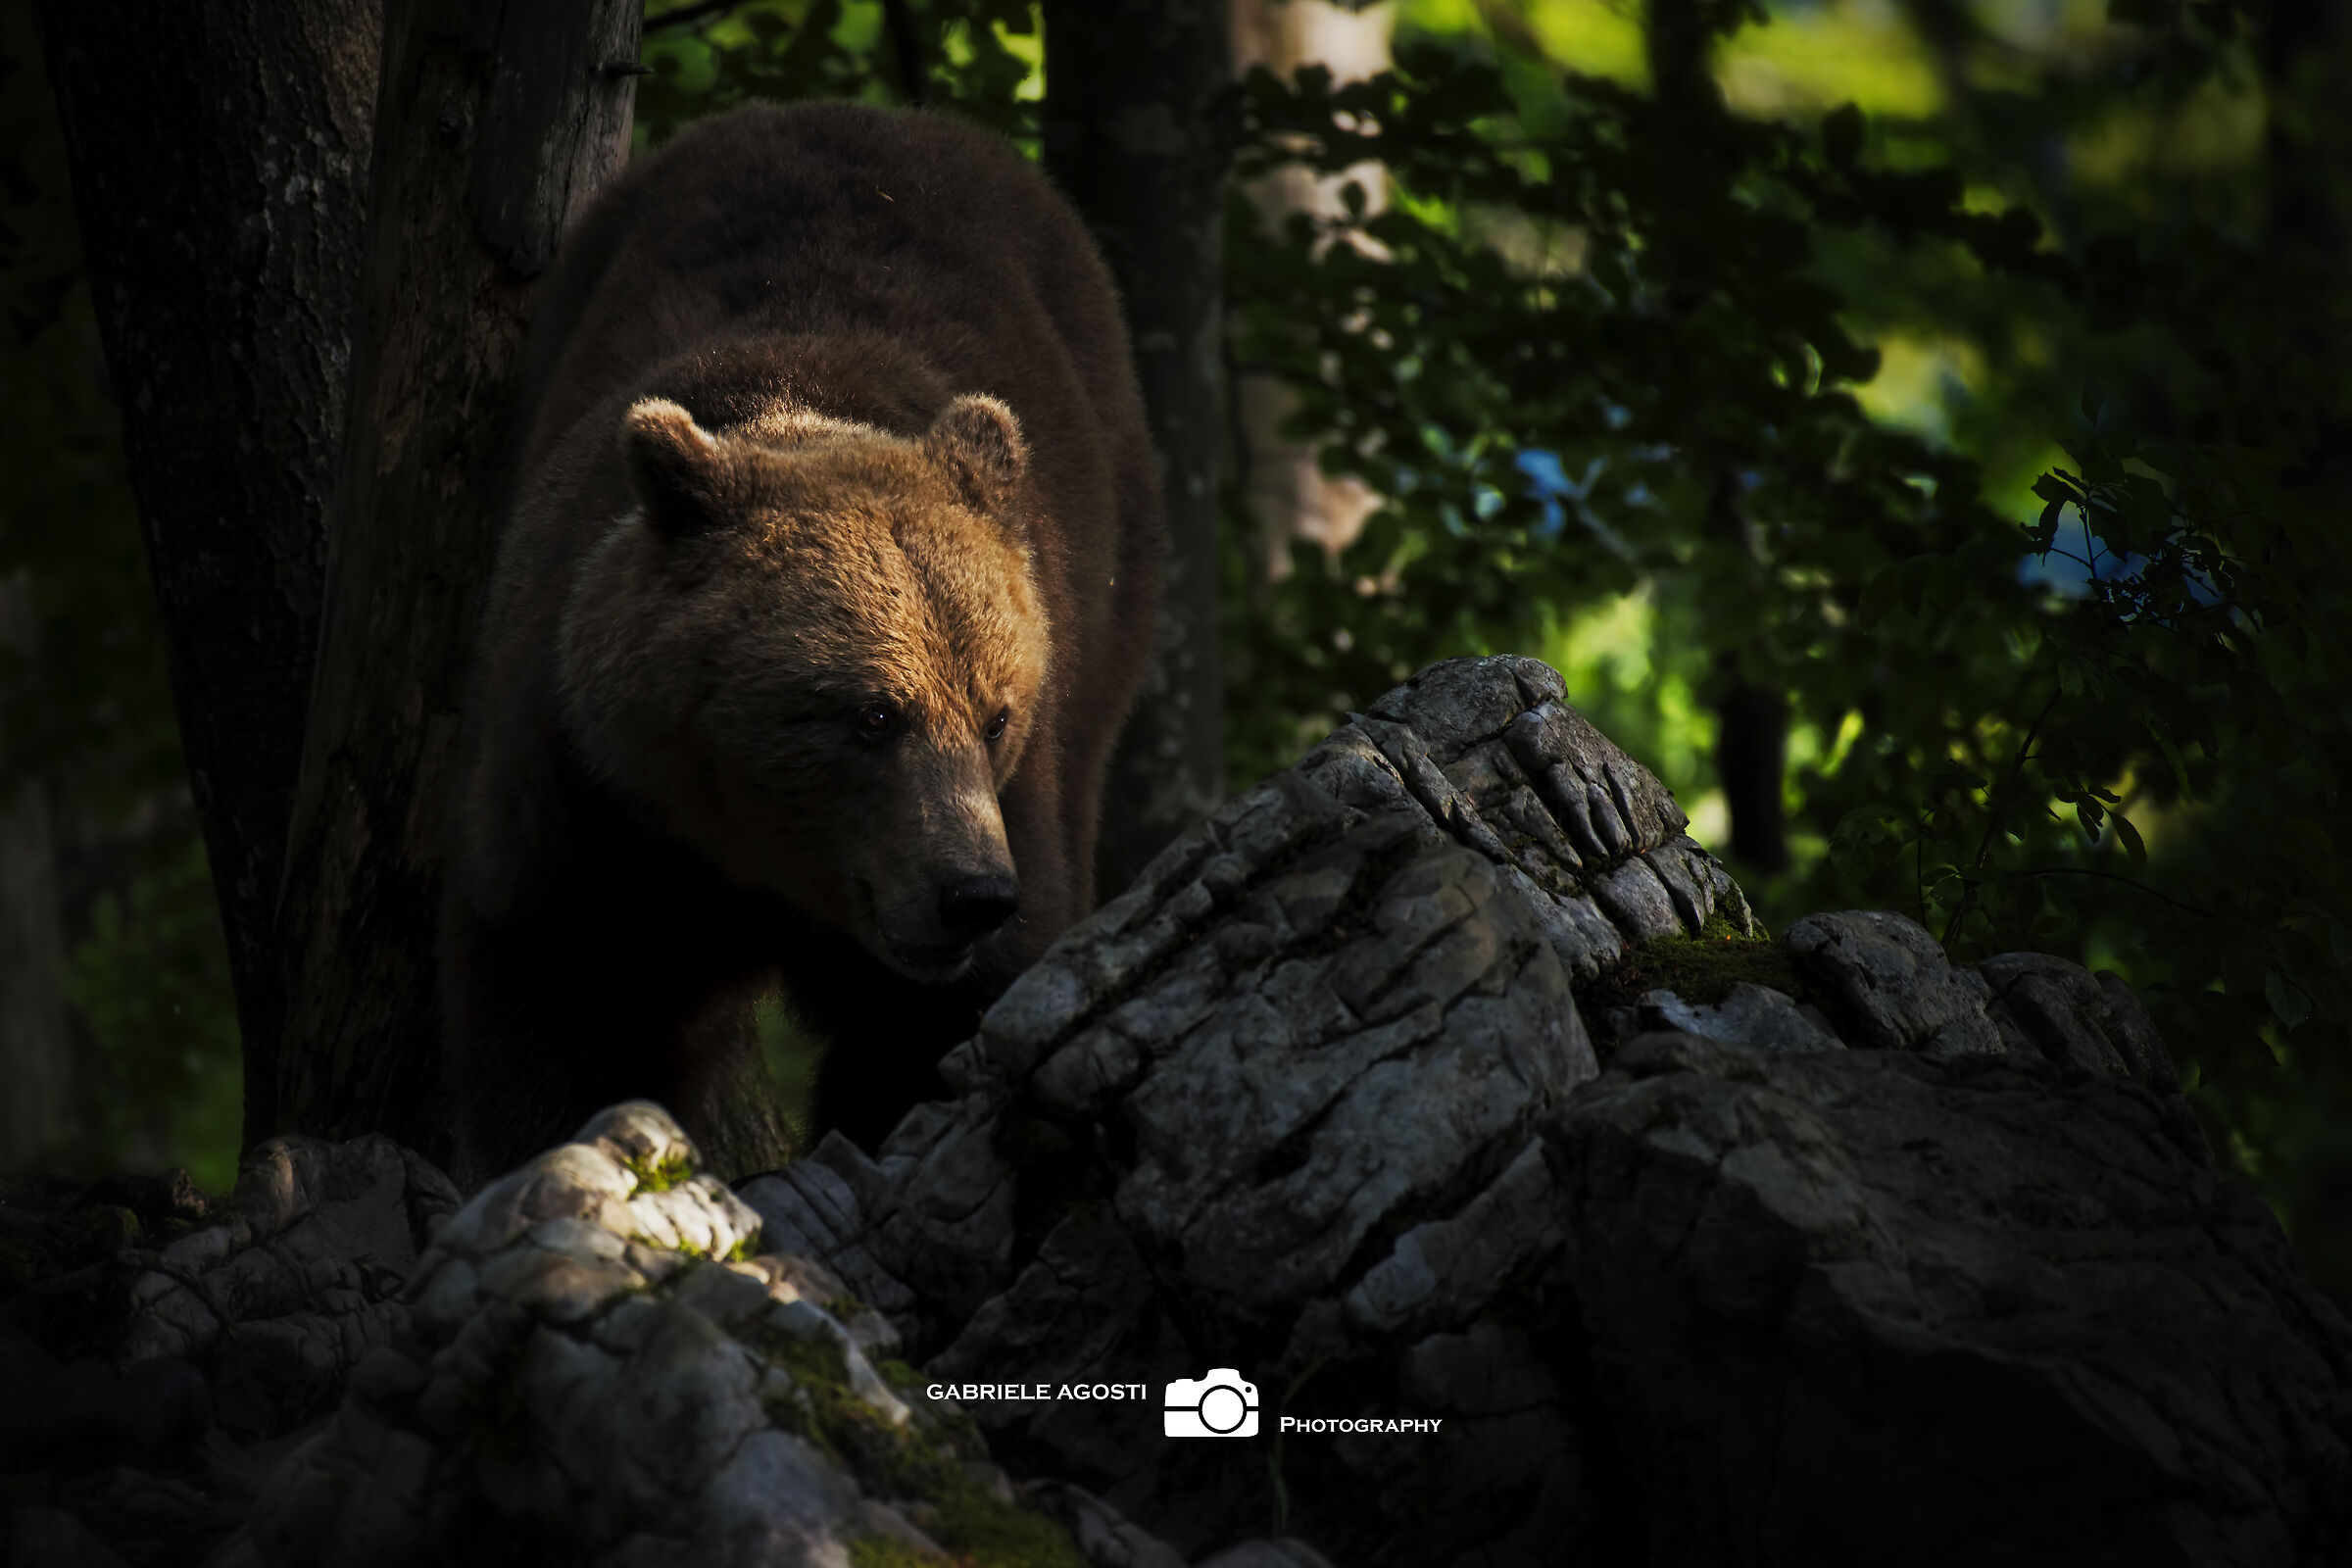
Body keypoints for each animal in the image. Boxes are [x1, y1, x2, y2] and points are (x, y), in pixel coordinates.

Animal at [440, 102, 1163, 1184]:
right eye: (875, 713)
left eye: (995, 715)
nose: (971, 893)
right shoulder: (584, 798)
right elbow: (559, 996)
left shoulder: (1010, 810)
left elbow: (939, 1022)